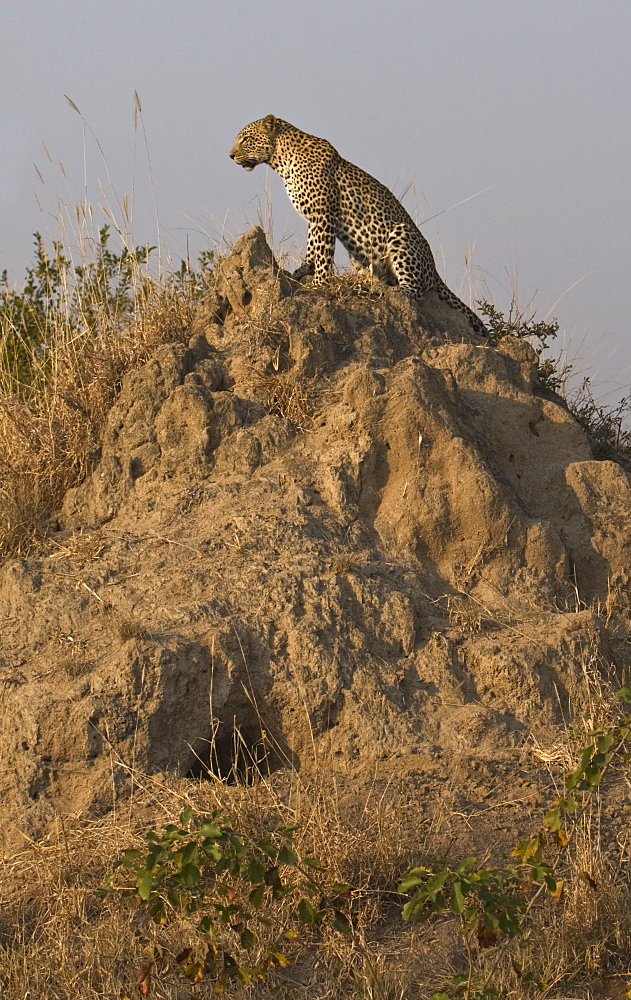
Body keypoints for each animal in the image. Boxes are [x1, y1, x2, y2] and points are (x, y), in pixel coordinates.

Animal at [230, 115, 486, 338]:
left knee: (412, 292)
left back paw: (384, 291)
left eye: (245, 138)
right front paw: (302, 272)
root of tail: (434, 270)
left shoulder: (323, 215)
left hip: (401, 233)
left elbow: (323, 253)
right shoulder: (314, 218)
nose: (230, 155)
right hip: (360, 256)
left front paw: (319, 285)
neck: (281, 161)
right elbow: (312, 247)